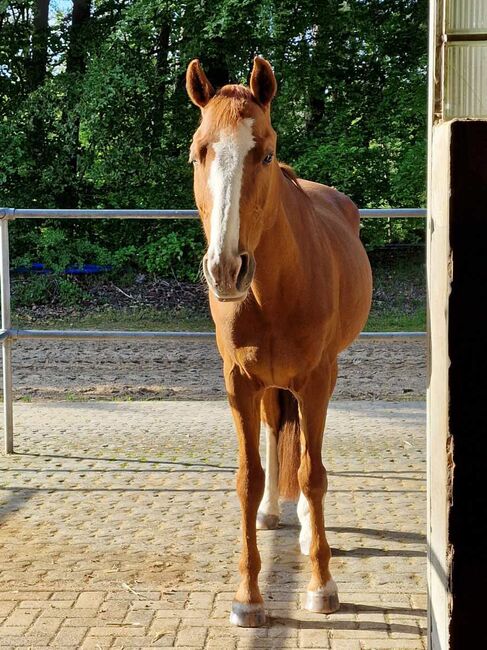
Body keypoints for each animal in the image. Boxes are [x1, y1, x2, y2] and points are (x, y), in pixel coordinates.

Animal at [187, 58, 374, 624]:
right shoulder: (240, 382)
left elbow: (313, 474)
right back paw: (273, 513)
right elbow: (248, 478)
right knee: (276, 430)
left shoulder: (315, 380)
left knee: (312, 460)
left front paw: (322, 585)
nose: (227, 269)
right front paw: (248, 598)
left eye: (265, 153)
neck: (273, 290)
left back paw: (312, 532)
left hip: (319, 380)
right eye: (199, 151)